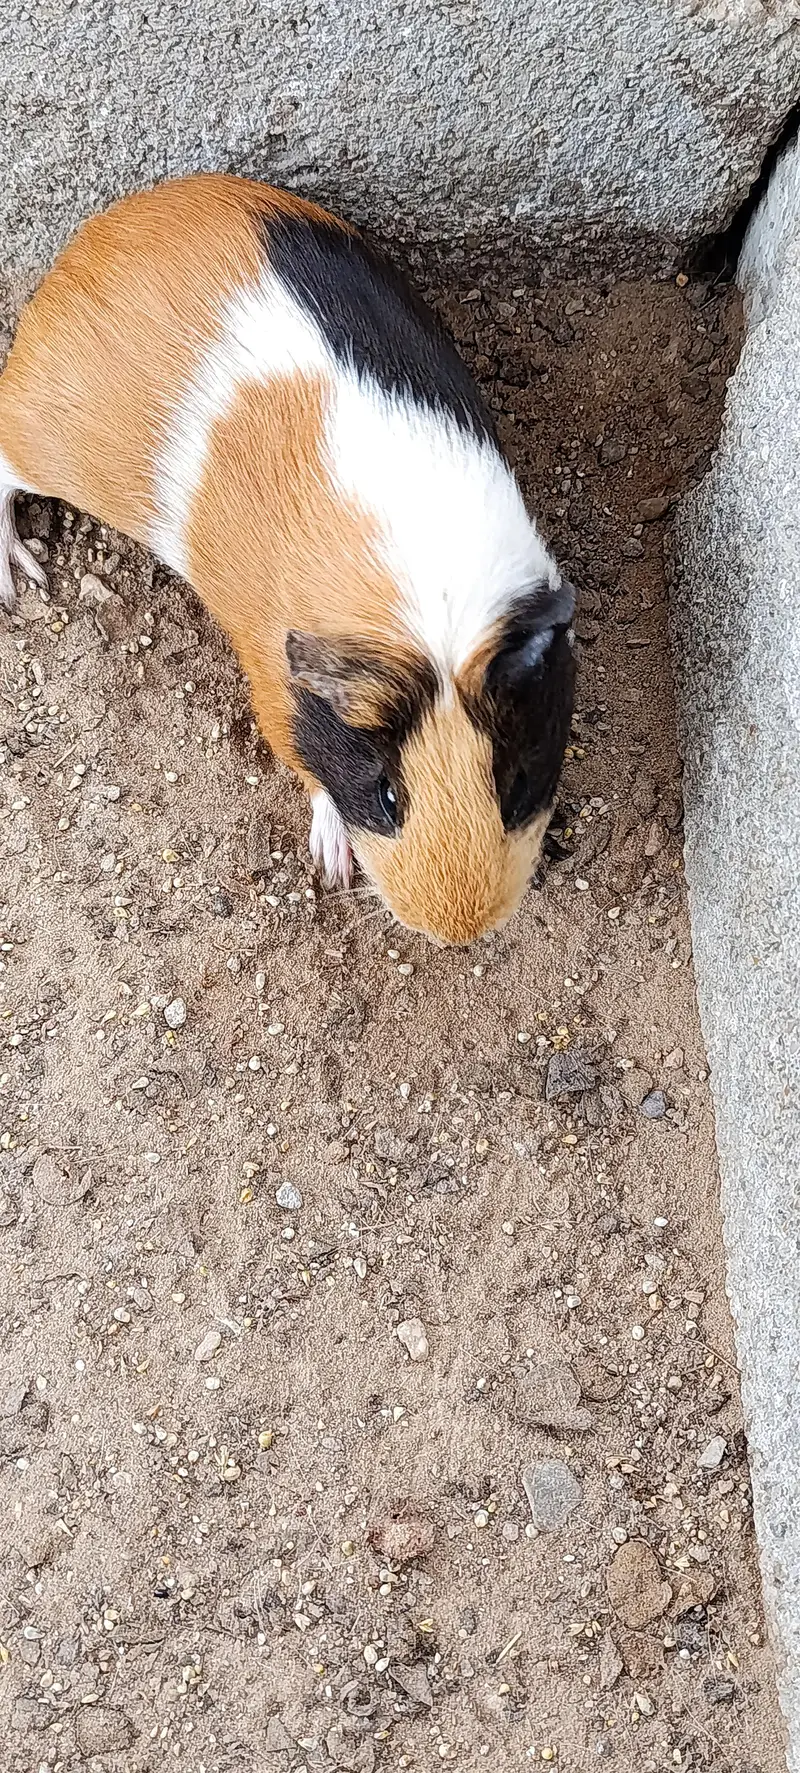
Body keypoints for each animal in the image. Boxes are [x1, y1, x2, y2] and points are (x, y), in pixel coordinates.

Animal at [0, 174, 575, 944]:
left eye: (515, 784)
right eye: (386, 794)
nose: (459, 930)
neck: (435, 617)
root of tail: (85, 247)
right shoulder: (273, 690)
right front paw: (333, 863)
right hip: (36, 445)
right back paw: (20, 575)